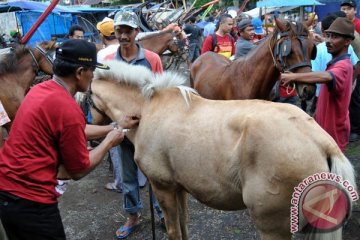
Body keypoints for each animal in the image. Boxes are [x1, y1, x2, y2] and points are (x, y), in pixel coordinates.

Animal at [88, 60, 358, 240]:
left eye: (88, 97)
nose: (91, 138)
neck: (148, 110)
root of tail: (322, 142)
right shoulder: (179, 188)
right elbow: (184, 226)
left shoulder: (163, 187)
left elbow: (174, 230)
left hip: (272, 227)